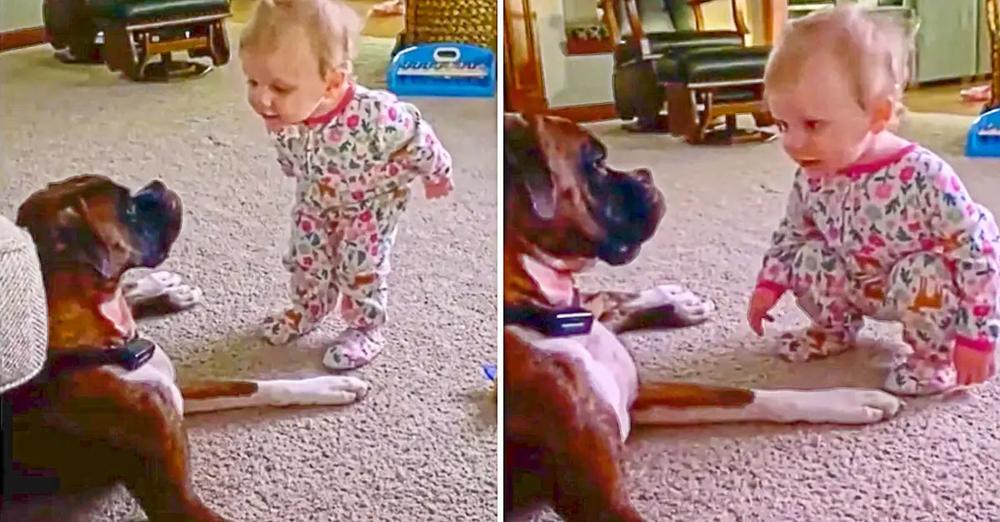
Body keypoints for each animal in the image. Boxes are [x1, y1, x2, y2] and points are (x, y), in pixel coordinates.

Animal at [0, 176, 372, 520]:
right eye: (128, 210)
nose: (157, 185)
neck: (107, 345)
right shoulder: (177, 502)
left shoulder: (177, 390)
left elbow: (251, 386)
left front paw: (330, 386)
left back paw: (164, 287)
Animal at [508, 114, 908, 520]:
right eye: (596, 163)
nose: (644, 174)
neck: (547, 314)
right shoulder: (598, 499)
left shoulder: (638, 394)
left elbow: (743, 394)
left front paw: (852, 400)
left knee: (604, 302)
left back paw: (678, 301)